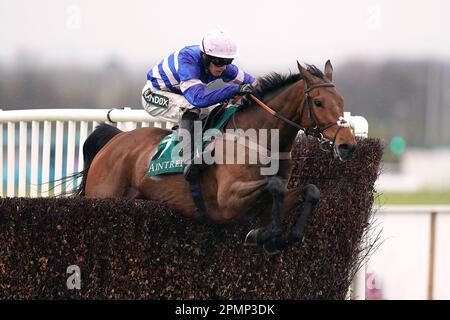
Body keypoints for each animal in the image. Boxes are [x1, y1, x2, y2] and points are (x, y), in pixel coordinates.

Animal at [74, 60, 356, 255]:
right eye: (318, 103)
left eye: (342, 101)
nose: (347, 145)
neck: (259, 138)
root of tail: (115, 140)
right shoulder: (227, 200)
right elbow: (274, 185)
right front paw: (262, 235)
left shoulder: (268, 202)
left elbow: (310, 191)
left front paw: (278, 238)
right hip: (104, 195)